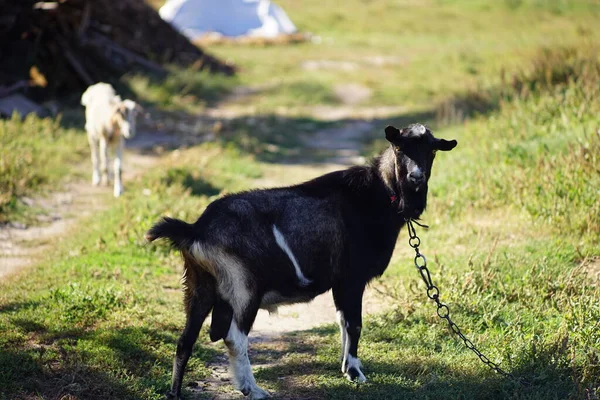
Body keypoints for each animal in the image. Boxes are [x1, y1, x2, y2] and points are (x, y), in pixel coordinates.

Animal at [148, 123, 458, 398]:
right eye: (399, 147)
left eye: (431, 150)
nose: (416, 176)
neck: (379, 194)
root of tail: (195, 229)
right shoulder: (352, 278)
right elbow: (354, 324)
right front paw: (356, 373)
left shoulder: (340, 284)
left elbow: (342, 321)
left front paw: (345, 368)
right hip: (243, 288)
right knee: (234, 337)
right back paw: (253, 390)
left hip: (198, 287)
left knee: (185, 340)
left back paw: (175, 393)